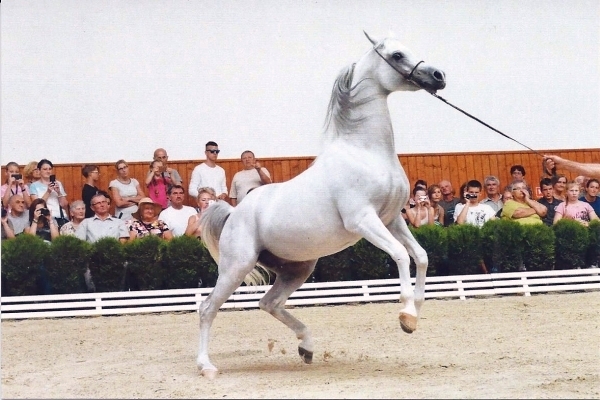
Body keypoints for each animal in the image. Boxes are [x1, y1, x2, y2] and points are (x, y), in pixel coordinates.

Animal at [197, 31, 446, 378]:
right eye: (397, 55)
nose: (438, 76)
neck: (365, 151)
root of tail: (234, 213)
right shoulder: (364, 220)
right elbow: (400, 255)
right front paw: (406, 313)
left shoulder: (392, 219)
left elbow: (420, 256)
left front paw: (413, 315)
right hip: (237, 266)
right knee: (208, 308)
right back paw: (207, 366)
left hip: (297, 269)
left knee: (269, 303)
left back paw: (307, 348)